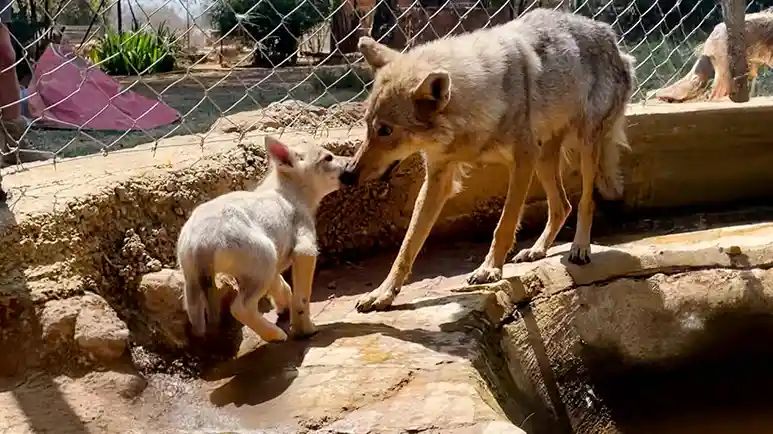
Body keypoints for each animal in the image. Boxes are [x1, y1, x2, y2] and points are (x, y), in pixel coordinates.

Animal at [177, 136, 348, 341]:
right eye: (328, 157)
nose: (351, 163)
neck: (289, 192)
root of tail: (201, 243)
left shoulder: (276, 264)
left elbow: (282, 286)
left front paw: (284, 307)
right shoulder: (304, 248)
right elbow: (301, 297)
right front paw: (305, 328)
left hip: (193, 278)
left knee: (194, 312)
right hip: (264, 258)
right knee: (240, 308)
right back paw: (275, 334)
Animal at [340, 8, 636, 312]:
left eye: (386, 131)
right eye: (367, 125)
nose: (348, 173)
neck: (477, 101)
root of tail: (611, 37)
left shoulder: (522, 162)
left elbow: (504, 225)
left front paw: (489, 269)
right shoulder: (438, 178)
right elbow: (407, 245)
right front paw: (383, 293)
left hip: (584, 149)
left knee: (586, 201)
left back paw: (580, 248)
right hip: (544, 160)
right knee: (562, 206)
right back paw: (536, 249)